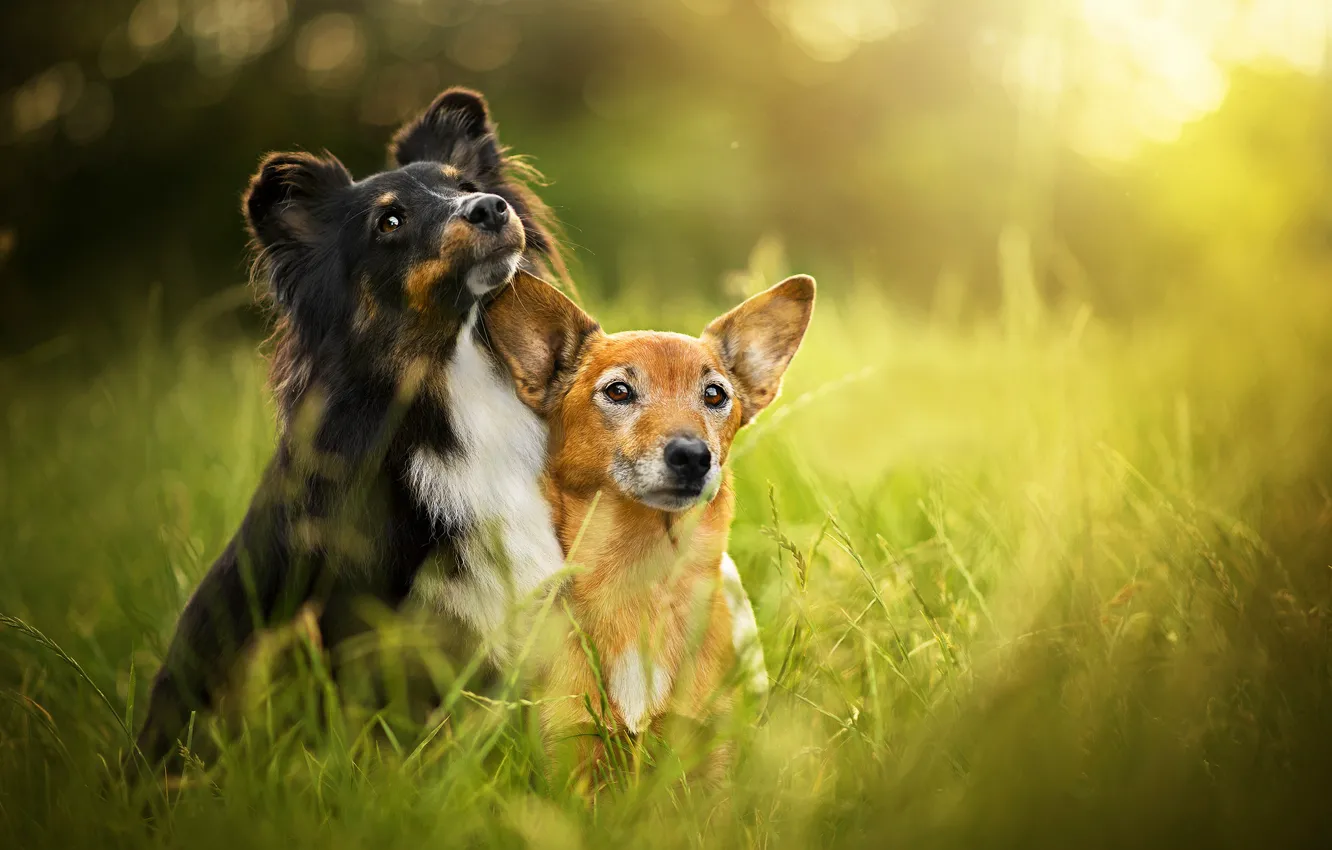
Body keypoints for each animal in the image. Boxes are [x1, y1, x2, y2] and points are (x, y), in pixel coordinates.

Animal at [482, 271, 809, 778]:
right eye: (618, 391)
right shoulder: (570, 750)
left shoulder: (708, 753)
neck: (642, 574)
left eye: (715, 394)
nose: (693, 456)